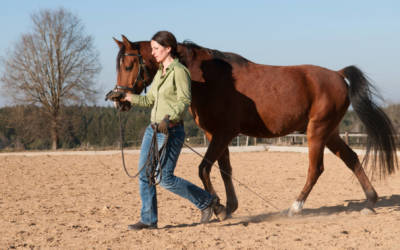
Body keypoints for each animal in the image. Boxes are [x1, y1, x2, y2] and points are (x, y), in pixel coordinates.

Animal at [111, 34, 396, 219]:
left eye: (129, 64)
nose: (119, 100)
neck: (209, 79)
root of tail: (337, 74)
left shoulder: (224, 134)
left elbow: (204, 168)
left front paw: (216, 208)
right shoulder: (215, 135)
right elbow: (224, 169)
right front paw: (229, 206)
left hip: (317, 132)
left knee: (316, 169)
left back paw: (295, 207)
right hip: (331, 133)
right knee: (352, 158)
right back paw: (370, 201)